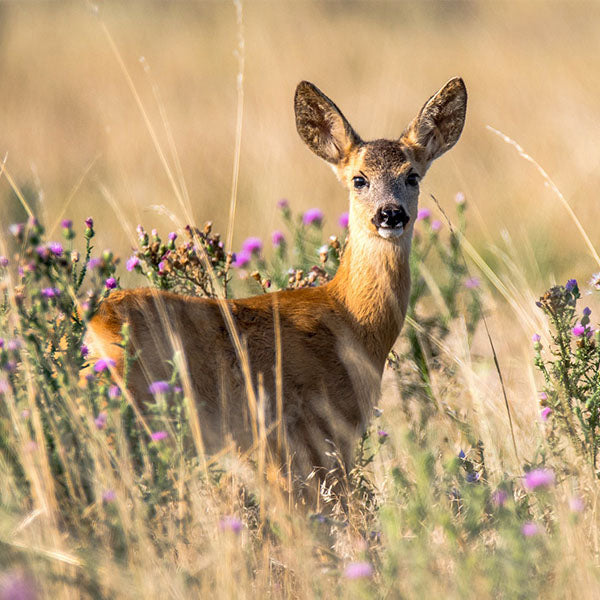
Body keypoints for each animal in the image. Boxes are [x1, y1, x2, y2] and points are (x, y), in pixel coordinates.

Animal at [86, 75, 466, 496]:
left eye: (412, 176)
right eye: (359, 179)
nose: (390, 214)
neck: (350, 320)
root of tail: (96, 324)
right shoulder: (315, 431)